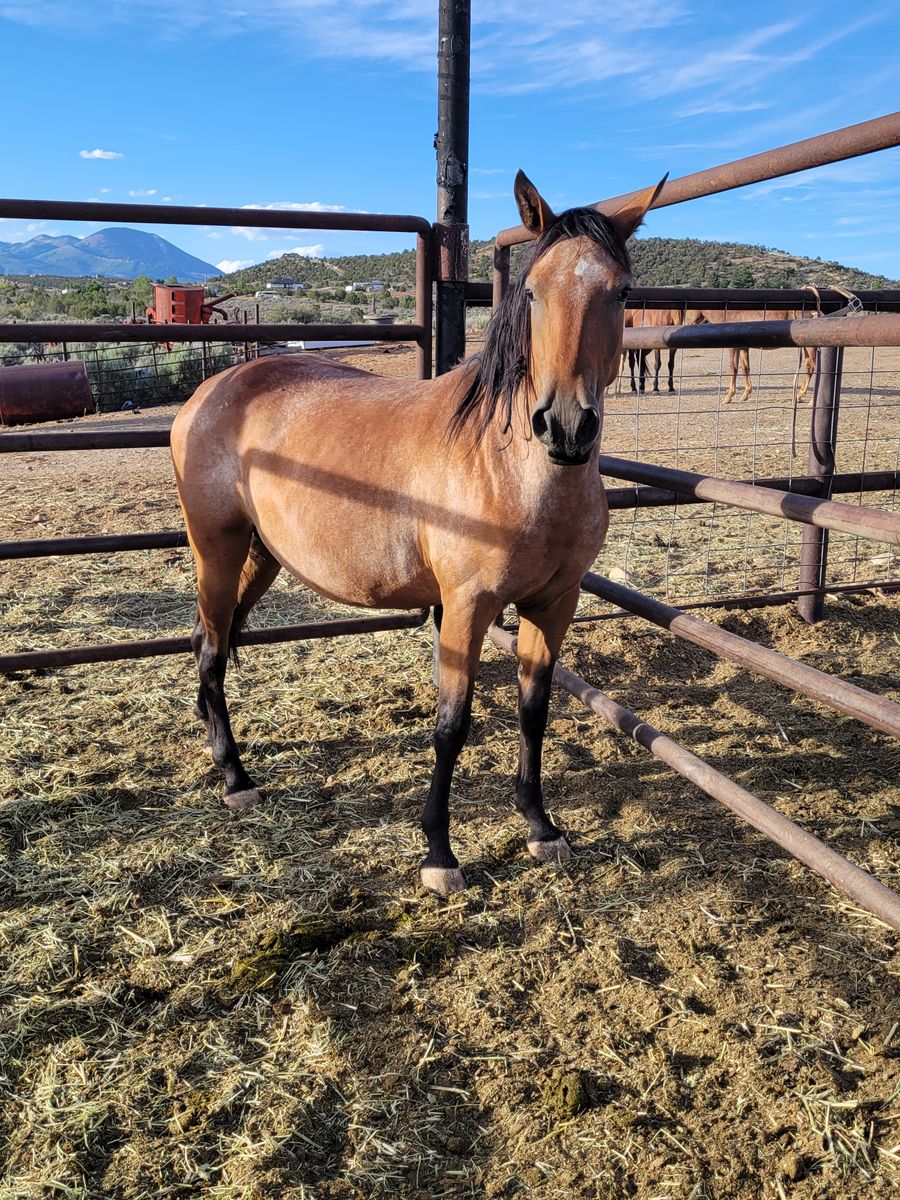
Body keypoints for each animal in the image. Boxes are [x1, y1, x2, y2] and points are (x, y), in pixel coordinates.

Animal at [170, 170, 664, 896]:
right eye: (533, 291)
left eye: (622, 291)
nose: (567, 426)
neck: (509, 469)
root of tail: (210, 391)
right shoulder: (465, 608)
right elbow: (451, 726)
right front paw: (438, 852)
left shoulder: (555, 603)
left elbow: (535, 710)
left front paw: (541, 826)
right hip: (218, 548)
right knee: (208, 647)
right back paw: (235, 778)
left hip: (261, 556)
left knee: (210, 638)